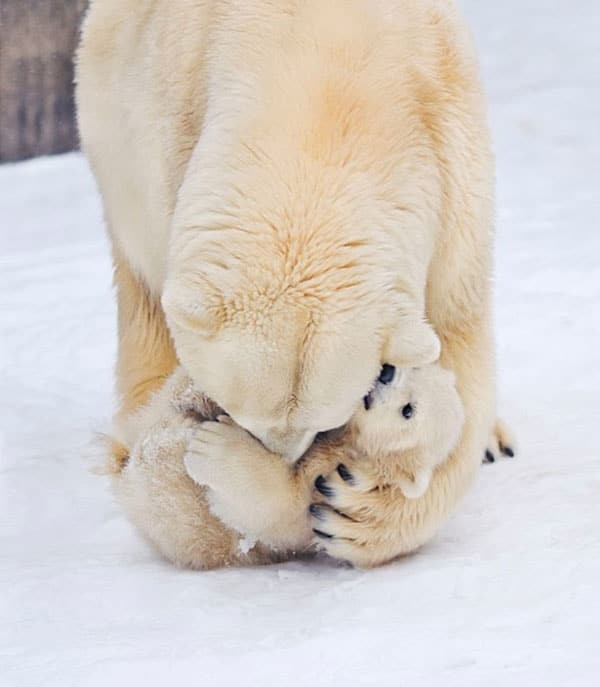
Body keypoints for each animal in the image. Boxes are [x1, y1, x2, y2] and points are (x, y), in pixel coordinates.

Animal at [77, 0, 504, 568]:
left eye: (323, 421)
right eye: (240, 408)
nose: (280, 457)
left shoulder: (451, 164)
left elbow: (456, 343)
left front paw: (355, 508)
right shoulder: (171, 126)